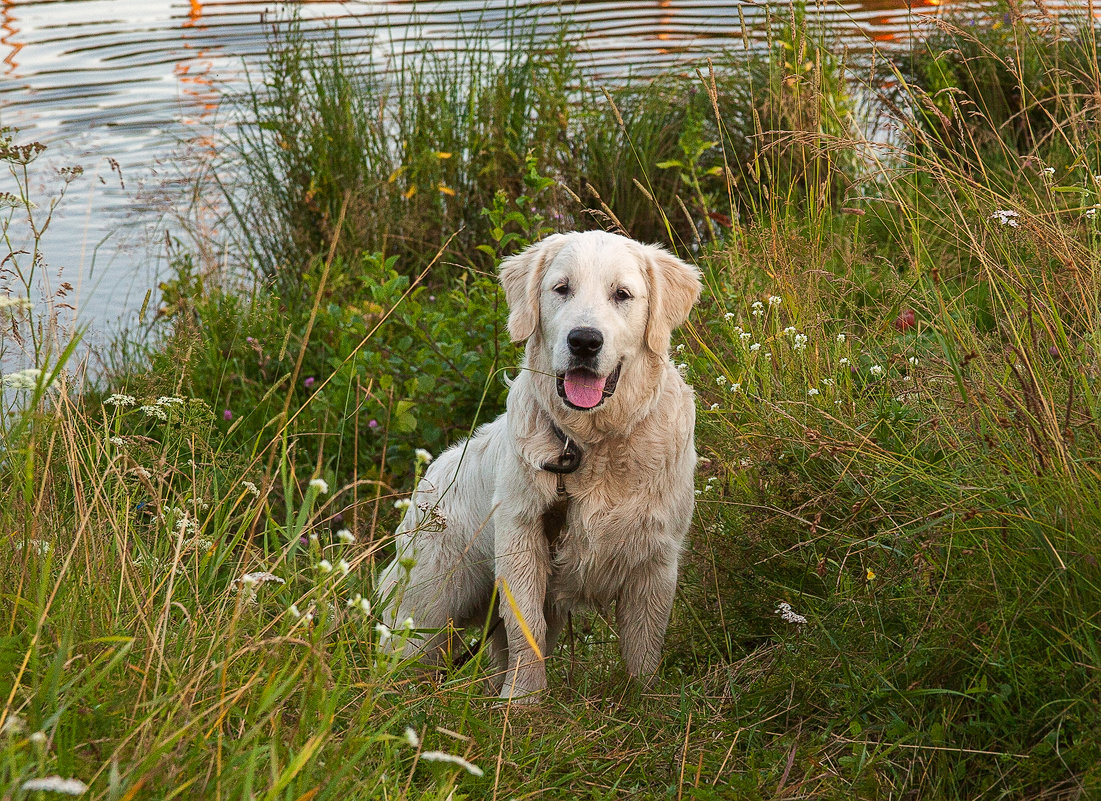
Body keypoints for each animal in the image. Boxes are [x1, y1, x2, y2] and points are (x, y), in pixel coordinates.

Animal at [376, 229, 695, 699]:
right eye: (561, 288)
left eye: (622, 294)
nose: (584, 341)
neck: (588, 443)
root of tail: (429, 477)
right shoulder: (522, 539)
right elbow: (527, 628)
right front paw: (523, 700)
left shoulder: (656, 556)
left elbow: (644, 642)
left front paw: (644, 698)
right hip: (428, 605)